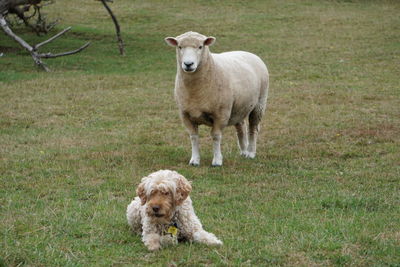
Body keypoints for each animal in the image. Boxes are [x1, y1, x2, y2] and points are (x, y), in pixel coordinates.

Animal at [164, 30, 270, 165]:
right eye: (180, 47)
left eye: (200, 47)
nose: (188, 64)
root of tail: (248, 53)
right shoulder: (185, 114)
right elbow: (193, 137)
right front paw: (195, 160)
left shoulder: (221, 114)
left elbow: (215, 136)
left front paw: (217, 161)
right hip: (238, 107)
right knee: (241, 127)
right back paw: (243, 152)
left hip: (260, 103)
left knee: (253, 128)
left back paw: (251, 153)